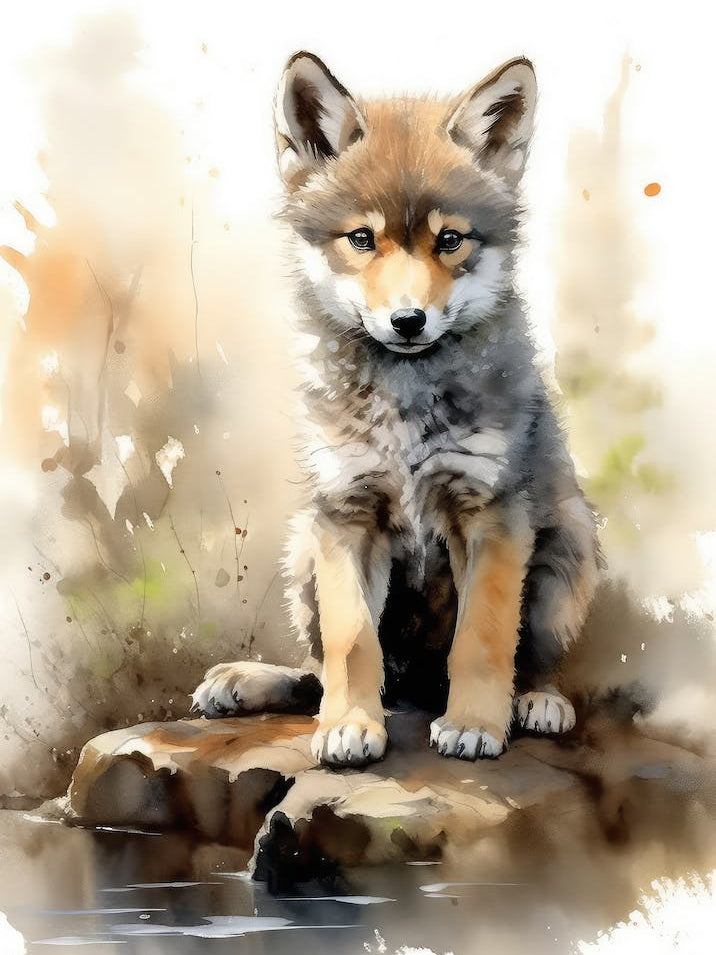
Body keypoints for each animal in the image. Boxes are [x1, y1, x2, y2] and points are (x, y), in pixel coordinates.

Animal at [192, 52, 600, 766]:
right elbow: (352, 645)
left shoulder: (491, 516)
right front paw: (351, 725)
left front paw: (474, 723)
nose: (408, 321)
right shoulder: (346, 514)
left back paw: (536, 701)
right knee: (316, 669)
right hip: (302, 552)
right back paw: (252, 682)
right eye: (362, 238)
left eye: (450, 240)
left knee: (534, 659)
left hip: (570, 551)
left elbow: (484, 640)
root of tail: (417, 686)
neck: (405, 407)